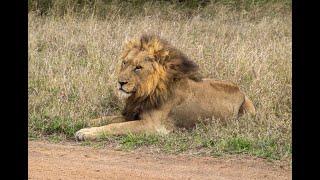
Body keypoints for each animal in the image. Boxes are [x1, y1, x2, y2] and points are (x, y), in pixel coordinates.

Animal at [75, 34, 255, 141]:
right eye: (125, 63)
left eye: (138, 67)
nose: (120, 82)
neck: (144, 92)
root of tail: (241, 91)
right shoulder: (133, 113)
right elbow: (105, 119)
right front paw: (84, 122)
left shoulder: (152, 125)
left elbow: (114, 126)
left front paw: (86, 132)